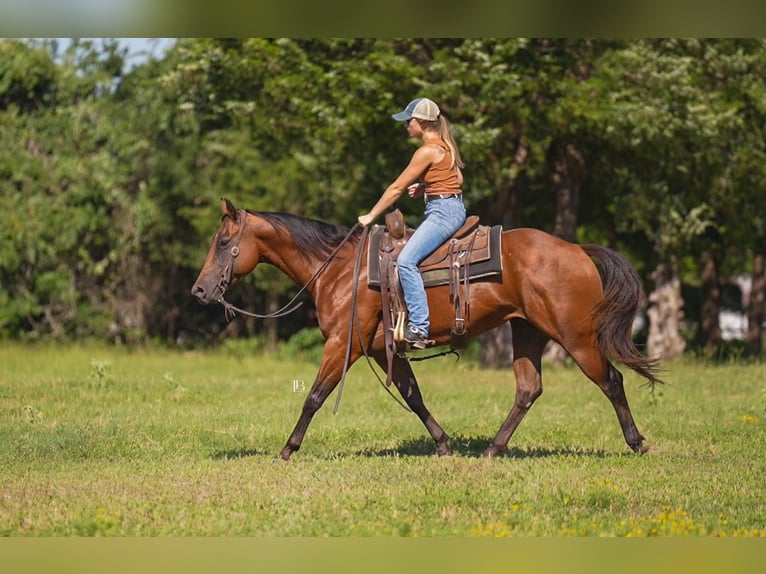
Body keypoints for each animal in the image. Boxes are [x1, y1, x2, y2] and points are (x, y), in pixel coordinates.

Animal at [192, 198, 661, 461]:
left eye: (222, 242)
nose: (198, 290)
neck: (340, 269)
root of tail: (578, 249)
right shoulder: (382, 349)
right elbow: (413, 396)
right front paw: (443, 444)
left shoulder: (343, 344)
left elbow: (314, 397)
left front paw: (288, 449)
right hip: (527, 332)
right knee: (529, 389)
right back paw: (492, 450)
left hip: (577, 339)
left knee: (612, 380)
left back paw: (637, 442)